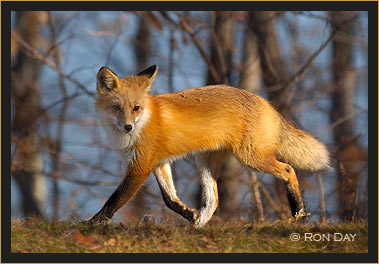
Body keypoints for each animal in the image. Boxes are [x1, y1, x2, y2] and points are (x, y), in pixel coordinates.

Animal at [88, 64, 330, 227]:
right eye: (116, 107)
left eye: (136, 108)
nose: (128, 127)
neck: (145, 120)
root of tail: (267, 103)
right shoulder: (159, 163)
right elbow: (170, 199)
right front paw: (189, 213)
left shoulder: (141, 166)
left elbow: (114, 200)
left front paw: (91, 224)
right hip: (205, 162)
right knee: (213, 200)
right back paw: (197, 226)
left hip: (251, 158)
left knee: (288, 170)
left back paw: (299, 215)